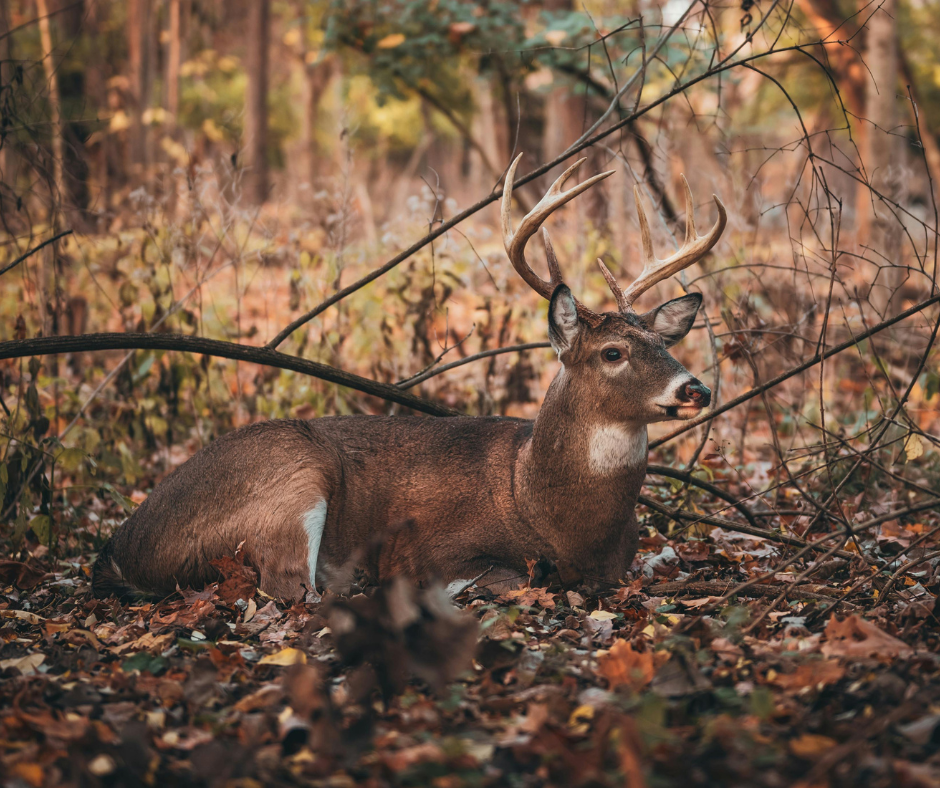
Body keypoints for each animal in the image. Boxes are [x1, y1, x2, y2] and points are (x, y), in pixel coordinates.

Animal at [92, 155, 726, 601]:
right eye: (613, 352)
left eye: (664, 343)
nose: (695, 388)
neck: (540, 502)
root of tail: (121, 545)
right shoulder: (436, 547)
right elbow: (514, 576)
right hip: (293, 474)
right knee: (291, 590)